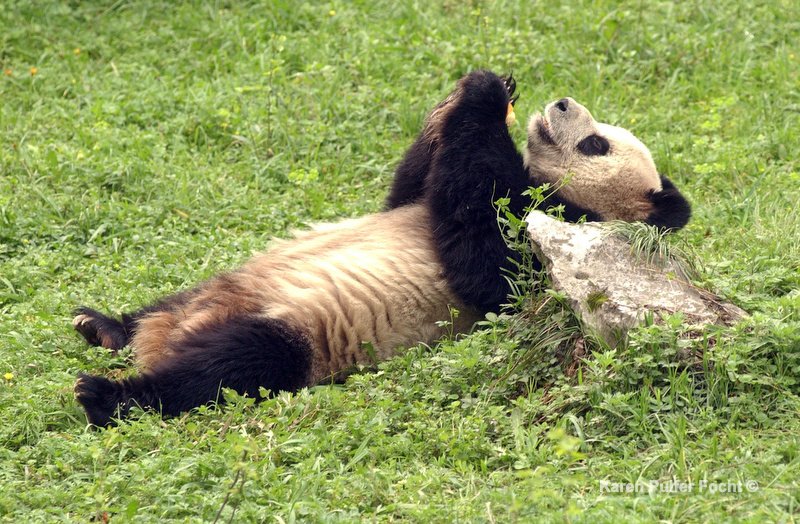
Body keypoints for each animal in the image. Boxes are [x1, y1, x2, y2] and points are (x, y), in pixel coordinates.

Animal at [72, 70, 692, 426]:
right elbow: (406, 191)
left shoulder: (555, 247)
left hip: (298, 334)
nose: (561, 103)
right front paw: (480, 90)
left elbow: (487, 261)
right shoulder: (415, 199)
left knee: (229, 369)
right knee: (166, 306)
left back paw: (106, 395)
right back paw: (105, 326)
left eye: (596, 144)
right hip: (220, 286)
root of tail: (170, 336)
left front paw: (486, 99)